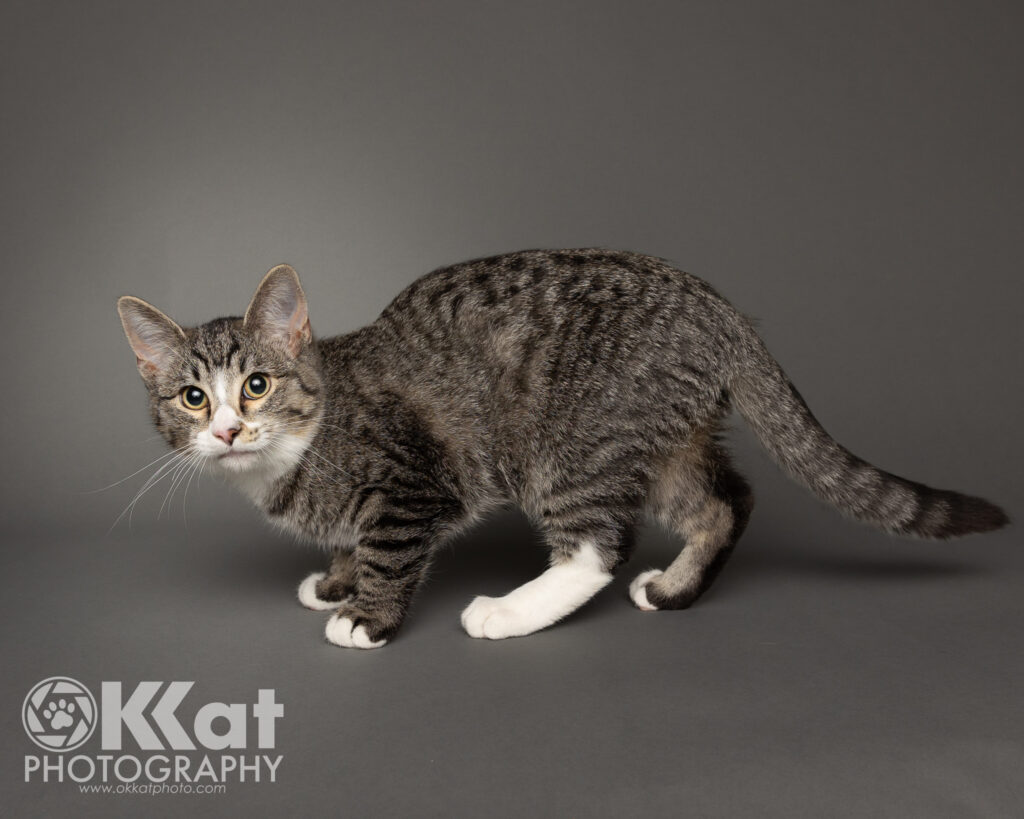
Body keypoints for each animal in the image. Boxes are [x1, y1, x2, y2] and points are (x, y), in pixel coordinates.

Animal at [117, 247, 1007, 647]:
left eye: (257, 384)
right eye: (193, 398)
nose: (229, 428)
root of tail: (719, 310)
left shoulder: (413, 484)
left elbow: (390, 546)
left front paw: (366, 614)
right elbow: (349, 539)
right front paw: (337, 579)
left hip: (572, 440)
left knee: (596, 544)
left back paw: (510, 609)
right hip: (660, 436)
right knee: (725, 500)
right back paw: (676, 589)